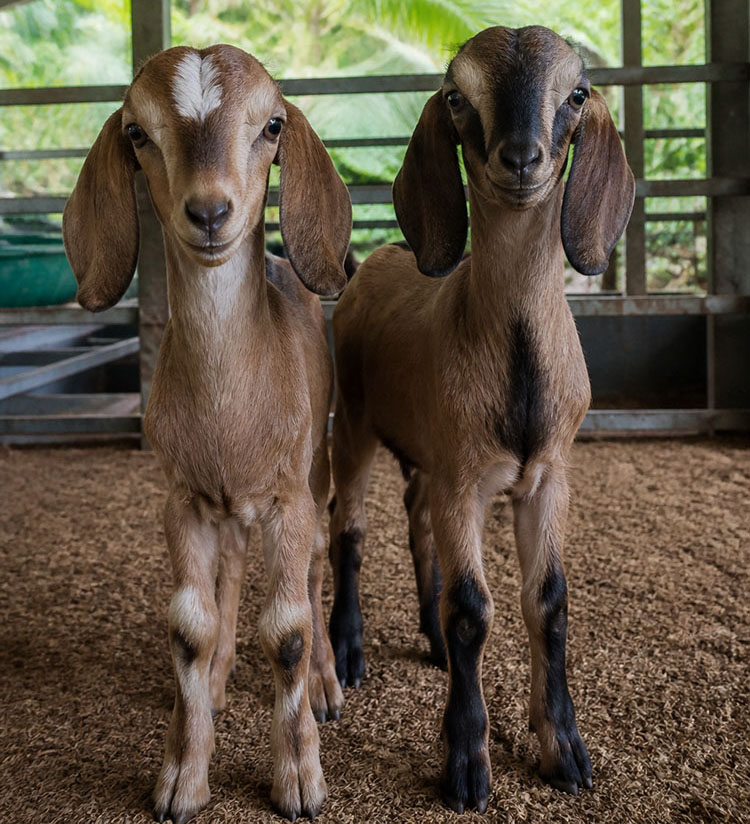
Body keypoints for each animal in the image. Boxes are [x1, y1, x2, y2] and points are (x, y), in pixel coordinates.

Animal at [62, 45, 352, 823]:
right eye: (137, 132)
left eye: (272, 124)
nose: (212, 211)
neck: (230, 408)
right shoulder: (183, 499)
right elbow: (190, 626)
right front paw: (180, 781)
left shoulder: (287, 496)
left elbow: (287, 629)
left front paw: (300, 779)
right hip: (225, 510)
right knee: (229, 575)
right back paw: (220, 682)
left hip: (319, 468)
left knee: (317, 569)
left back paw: (327, 686)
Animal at [328, 25, 634, 814]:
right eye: (457, 96)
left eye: (577, 93)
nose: (521, 158)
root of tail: (371, 262)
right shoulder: (464, 480)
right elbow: (473, 608)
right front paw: (467, 763)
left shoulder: (547, 476)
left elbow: (547, 602)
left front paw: (565, 751)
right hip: (354, 425)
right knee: (350, 530)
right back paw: (347, 652)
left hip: (426, 458)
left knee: (415, 522)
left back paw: (430, 642)